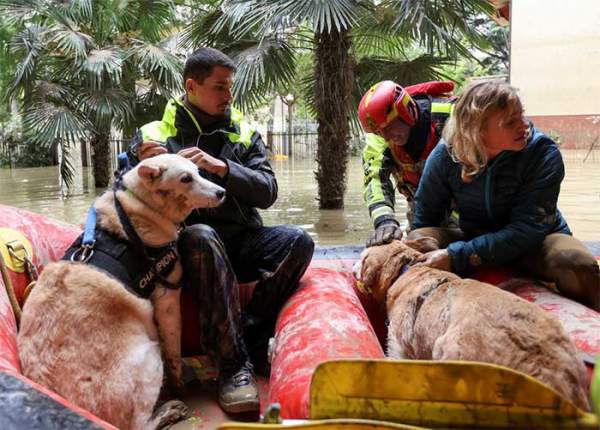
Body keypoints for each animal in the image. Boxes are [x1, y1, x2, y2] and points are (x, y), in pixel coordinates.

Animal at [18, 153, 226, 428]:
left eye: (199, 171)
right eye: (185, 178)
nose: (222, 192)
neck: (138, 209)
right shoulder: (167, 296)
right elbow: (173, 351)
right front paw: (179, 384)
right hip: (149, 356)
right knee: (138, 424)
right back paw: (167, 411)